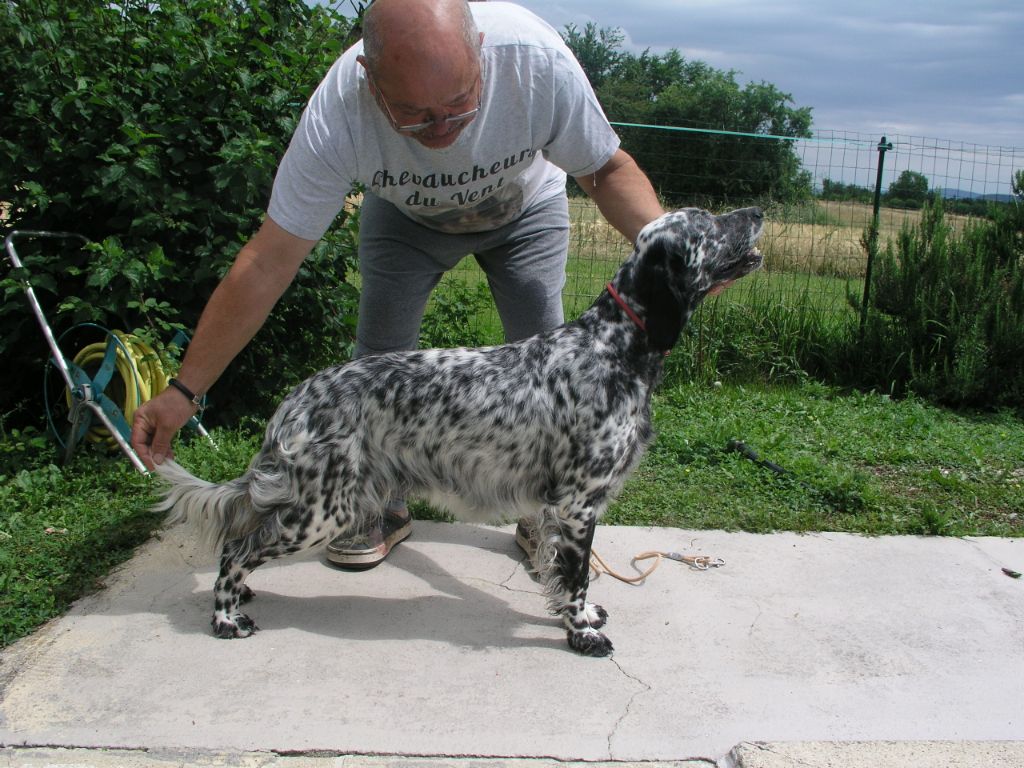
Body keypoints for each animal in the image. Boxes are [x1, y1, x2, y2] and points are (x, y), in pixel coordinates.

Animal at [153, 207, 761, 659]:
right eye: (707, 222)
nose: (756, 212)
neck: (613, 346)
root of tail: (296, 399)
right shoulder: (577, 504)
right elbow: (576, 578)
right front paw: (583, 634)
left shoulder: (564, 509)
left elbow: (567, 577)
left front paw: (585, 616)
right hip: (322, 510)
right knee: (235, 547)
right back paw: (227, 617)